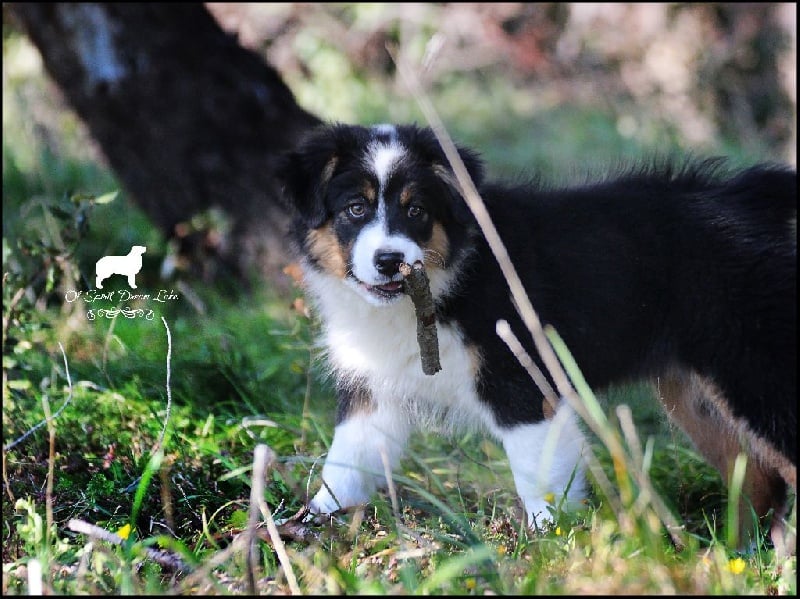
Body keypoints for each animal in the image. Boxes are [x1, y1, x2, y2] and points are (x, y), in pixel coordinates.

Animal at [280, 124, 792, 548]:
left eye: (417, 210)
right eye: (355, 209)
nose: (390, 261)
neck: (450, 281)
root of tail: (750, 197)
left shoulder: (523, 387)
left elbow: (538, 479)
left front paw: (551, 552)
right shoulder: (376, 391)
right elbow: (345, 466)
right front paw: (303, 529)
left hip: (754, 371)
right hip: (693, 393)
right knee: (757, 477)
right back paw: (732, 556)